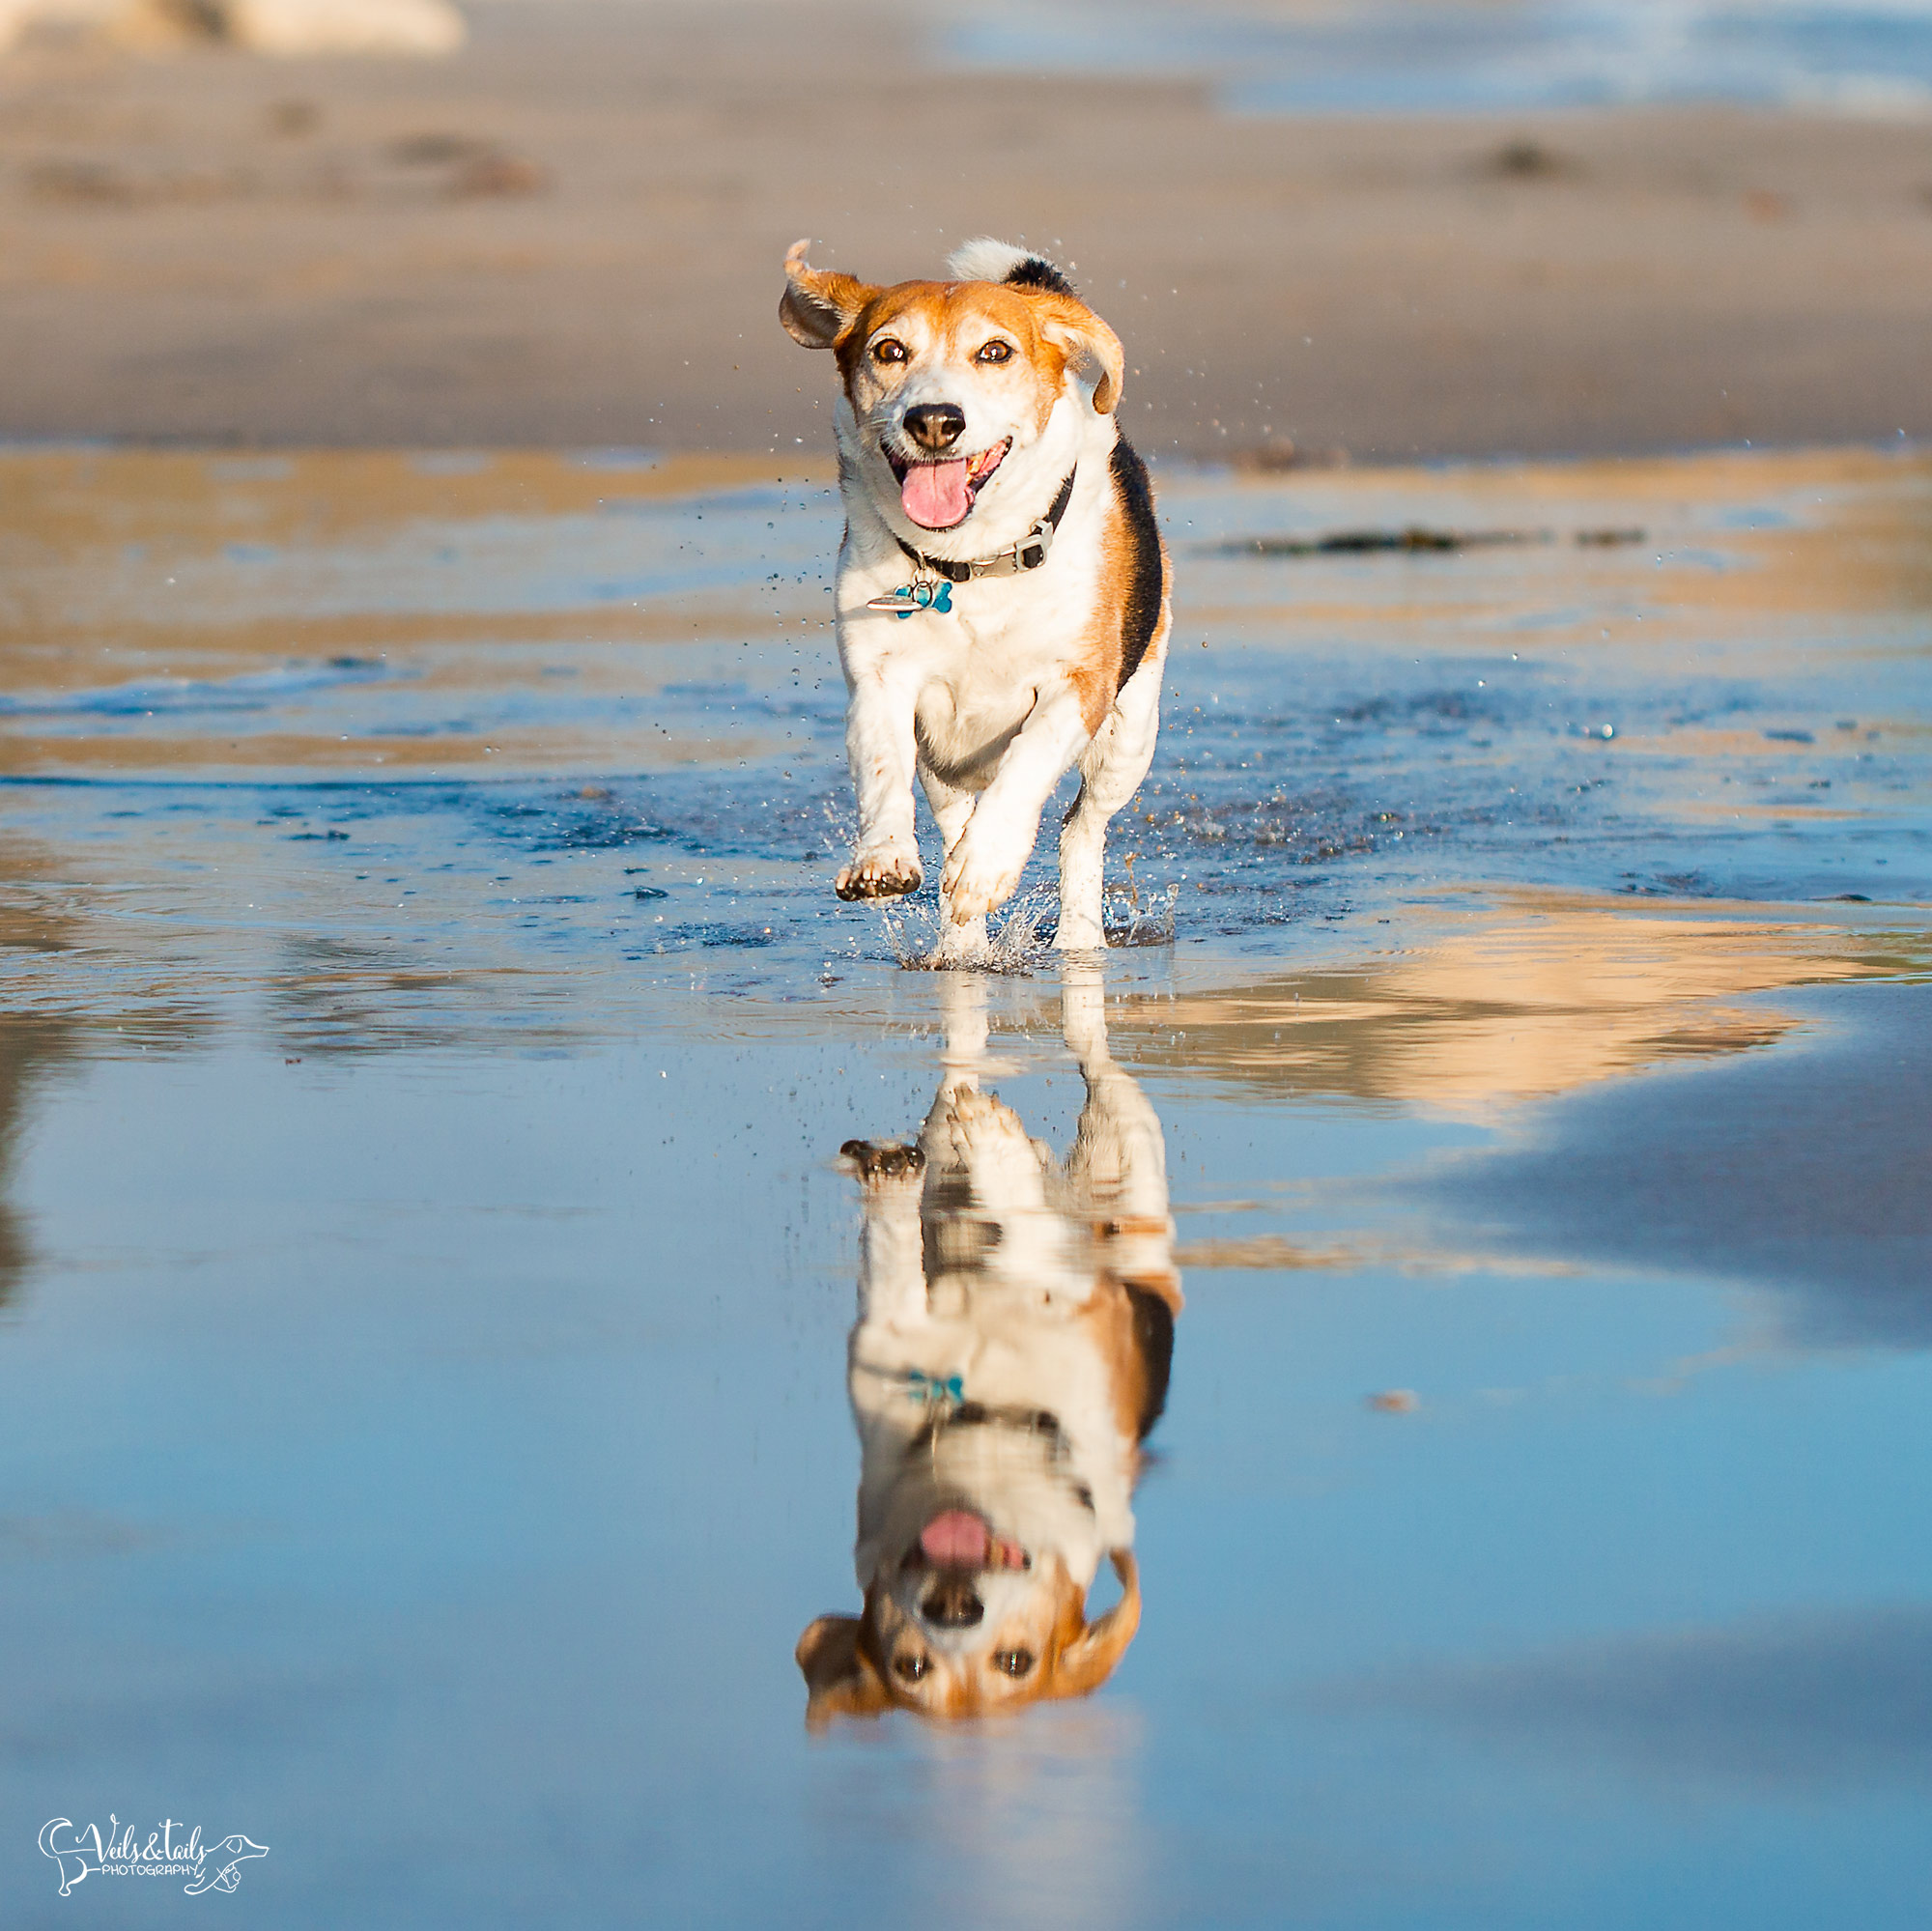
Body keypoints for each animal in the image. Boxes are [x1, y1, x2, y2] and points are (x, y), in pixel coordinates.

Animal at [777, 241, 1167, 957]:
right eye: (889, 350)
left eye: (995, 352)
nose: (933, 421)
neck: (969, 565)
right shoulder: (880, 681)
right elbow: (882, 766)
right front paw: (883, 858)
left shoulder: (1080, 684)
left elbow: (1029, 764)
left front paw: (989, 864)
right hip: (944, 767)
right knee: (957, 824)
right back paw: (961, 948)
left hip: (1128, 736)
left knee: (1081, 830)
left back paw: (1075, 939)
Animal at [796, 973, 1175, 1730]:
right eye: (912, 1667)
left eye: (1016, 1662)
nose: (953, 1606)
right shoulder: (885, 1342)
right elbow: (897, 1259)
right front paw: (893, 1178)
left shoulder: (1071, 1301)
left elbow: (1030, 1239)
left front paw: (995, 1148)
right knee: (958, 1077)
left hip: (1130, 1159)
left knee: (1090, 1052)